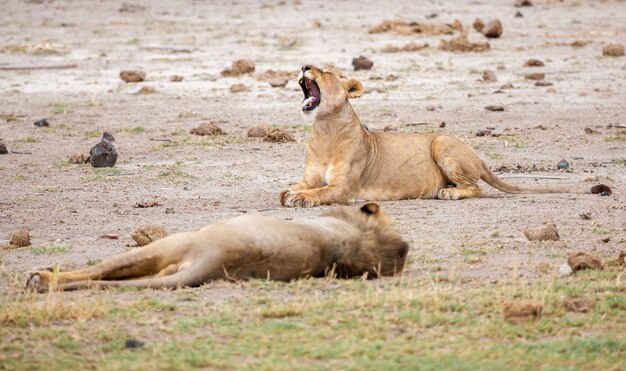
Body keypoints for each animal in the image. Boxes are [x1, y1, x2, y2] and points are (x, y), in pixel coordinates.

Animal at [280, 65, 608, 208]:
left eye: (325, 72)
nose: (304, 66)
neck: (325, 128)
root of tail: (478, 156)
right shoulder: (311, 176)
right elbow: (295, 186)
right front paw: (290, 192)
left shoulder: (345, 188)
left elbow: (321, 193)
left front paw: (301, 199)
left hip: (442, 143)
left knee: (476, 187)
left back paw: (449, 193)